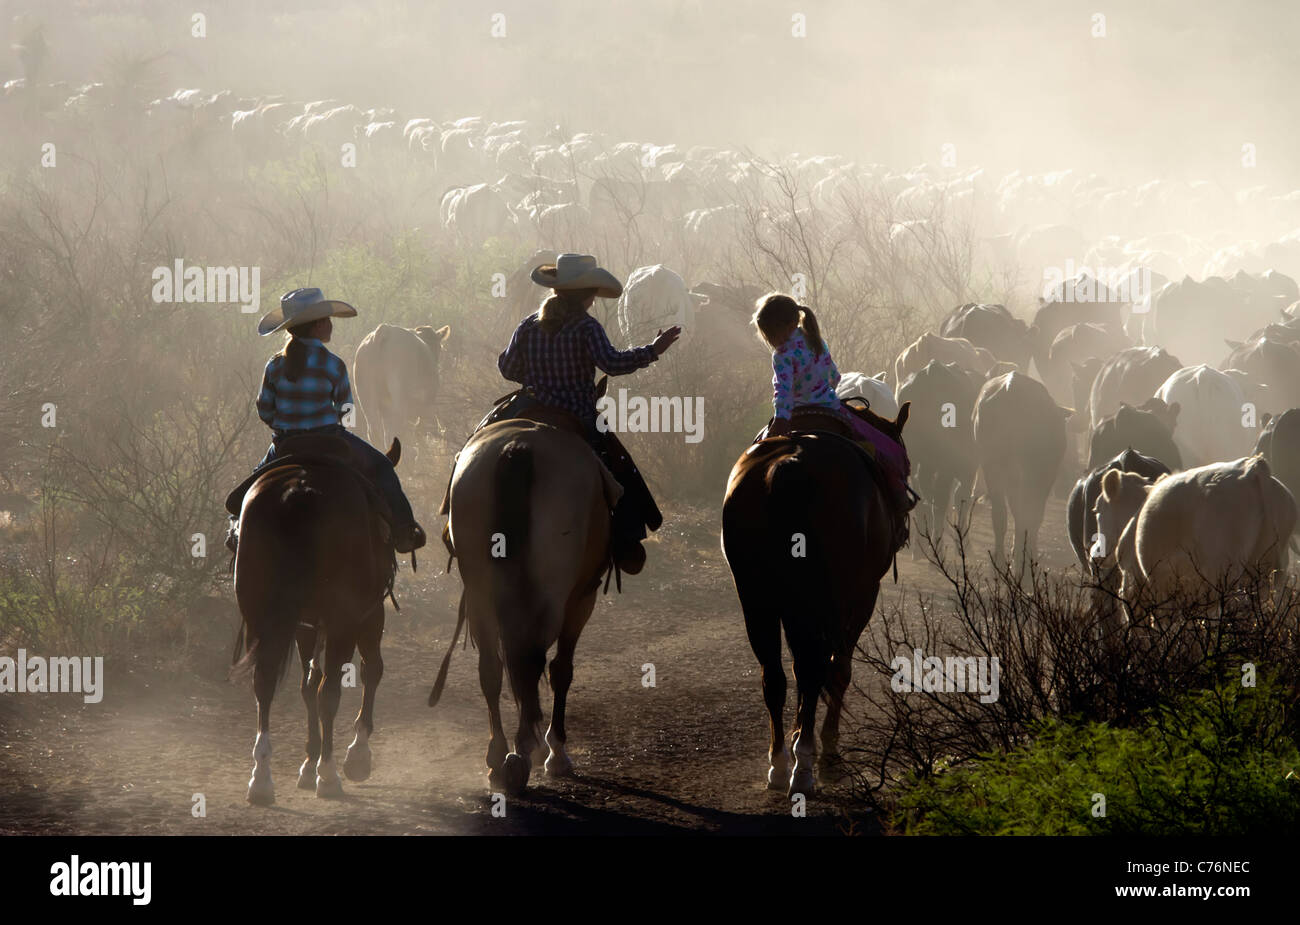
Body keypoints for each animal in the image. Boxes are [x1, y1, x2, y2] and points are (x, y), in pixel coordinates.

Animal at [231, 436, 397, 805]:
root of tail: (299, 490)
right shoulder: (367, 614)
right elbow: (370, 671)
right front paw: (356, 756)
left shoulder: (304, 626)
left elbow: (307, 685)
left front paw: (308, 764)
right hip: (344, 621)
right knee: (330, 690)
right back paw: (330, 774)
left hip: (264, 614)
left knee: (265, 683)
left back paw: (261, 779)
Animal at [353, 324, 454, 454]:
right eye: (439, 346)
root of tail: (386, 329)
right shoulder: (426, 404)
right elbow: (419, 431)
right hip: (400, 396)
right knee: (396, 431)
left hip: (366, 396)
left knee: (375, 432)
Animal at [428, 418, 621, 795]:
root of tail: (517, 448)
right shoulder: (581, 598)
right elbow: (561, 670)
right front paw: (556, 752)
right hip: (553, 595)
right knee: (532, 661)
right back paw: (525, 752)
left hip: (479, 591)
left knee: (492, 667)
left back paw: (499, 756)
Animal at [722, 407, 915, 800]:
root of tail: (786, 470)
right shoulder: (859, 597)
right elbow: (838, 670)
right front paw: (829, 754)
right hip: (821, 598)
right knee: (813, 671)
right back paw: (805, 768)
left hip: (756, 599)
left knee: (774, 676)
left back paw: (780, 764)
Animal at [977, 368, 1066, 571]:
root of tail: (1011, 388)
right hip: (1033, 472)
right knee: (1029, 514)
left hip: (992, 465)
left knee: (1000, 515)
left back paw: (1000, 562)